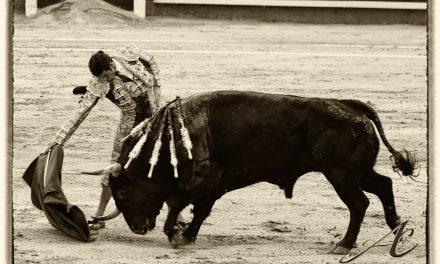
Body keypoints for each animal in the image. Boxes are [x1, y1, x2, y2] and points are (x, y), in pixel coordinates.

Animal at [85, 91, 416, 254]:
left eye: (123, 191)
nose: (137, 228)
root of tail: (352, 107)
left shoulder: (201, 180)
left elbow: (177, 202)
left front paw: (175, 235)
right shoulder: (213, 185)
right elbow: (200, 211)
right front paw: (187, 235)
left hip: (340, 174)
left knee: (359, 203)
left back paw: (344, 244)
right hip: (357, 172)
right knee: (384, 185)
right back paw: (395, 228)